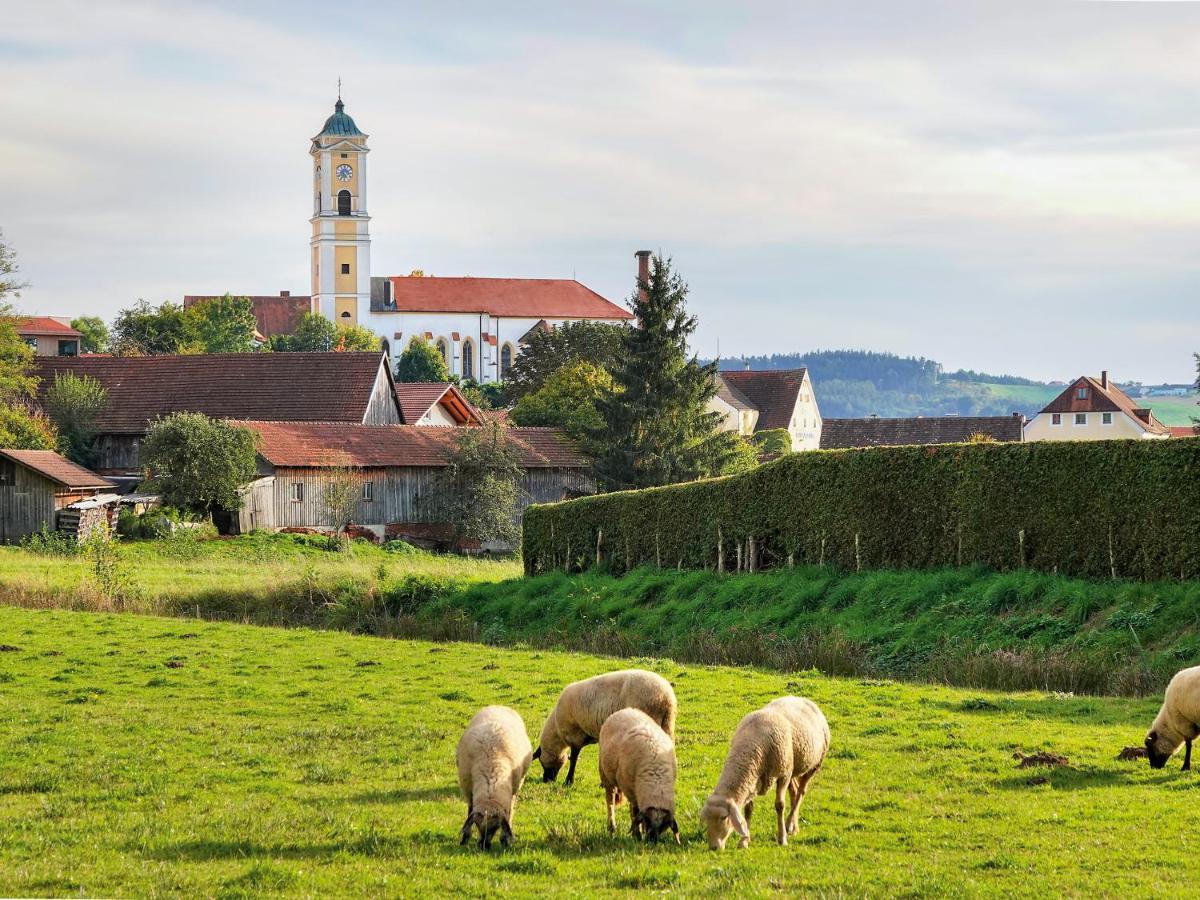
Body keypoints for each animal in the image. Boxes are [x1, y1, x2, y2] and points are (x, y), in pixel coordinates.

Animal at [456, 705, 532, 854]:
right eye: (477, 825)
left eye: (496, 827)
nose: (484, 846)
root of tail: (499, 705)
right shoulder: (468, 789)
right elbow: (469, 810)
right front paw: (465, 838)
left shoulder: (512, 792)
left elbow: (509, 814)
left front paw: (505, 840)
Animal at [535, 672, 676, 787]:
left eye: (541, 761)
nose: (546, 780)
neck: (557, 732)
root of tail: (665, 697)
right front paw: (603, 783)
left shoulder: (575, 735)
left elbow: (573, 759)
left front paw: (569, 781)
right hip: (667, 723)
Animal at [597, 710, 681, 844]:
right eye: (647, 820)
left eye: (664, 825)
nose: (652, 841)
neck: (656, 778)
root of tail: (625, 710)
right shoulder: (631, 792)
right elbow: (635, 812)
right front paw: (637, 835)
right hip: (606, 775)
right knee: (610, 801)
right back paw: (612, 827)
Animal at [700, 696, 830, 854]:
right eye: (706, 820)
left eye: (724, 817)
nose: (713, 847)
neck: (750, 746)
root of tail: (804, 699)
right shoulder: (753, 780)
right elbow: (748, 810)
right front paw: (744, 841)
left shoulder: (783, 775)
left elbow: (779, 805)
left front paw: (782, 839)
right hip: (792, 765)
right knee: (794, 791)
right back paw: (793, 827)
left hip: (813, 764)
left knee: (801, 792)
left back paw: (788, 824)